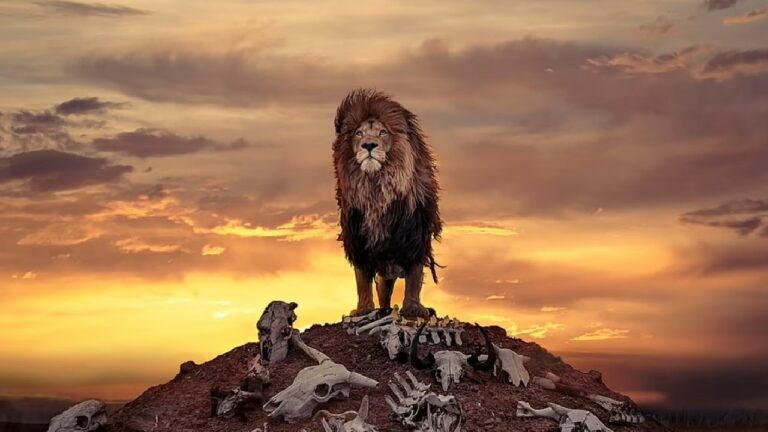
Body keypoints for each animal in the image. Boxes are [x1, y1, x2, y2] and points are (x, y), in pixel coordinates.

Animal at [332, 88, 443, 319]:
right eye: (359, 133)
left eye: (383, 132)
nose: (369, 145)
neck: (377, 187)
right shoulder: (358, 239)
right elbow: (362, 280)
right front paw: (363, 309)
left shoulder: (415, 237)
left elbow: (414, 277)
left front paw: (414, 308)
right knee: (382, 289)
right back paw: (382, 309)